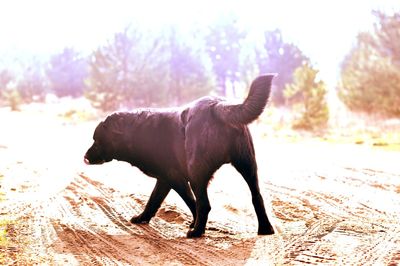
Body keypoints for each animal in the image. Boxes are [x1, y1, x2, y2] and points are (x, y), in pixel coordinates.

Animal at [85, 74, 276, 237]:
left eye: (96, 139)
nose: (85, 157)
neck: (137, 132)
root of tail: (217, 105)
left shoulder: (176, 178)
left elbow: (191, 203)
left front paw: (193, 225)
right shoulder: (164, 179)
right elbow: (153, 201)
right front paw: (142, 218)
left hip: (196, 173)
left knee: (204, 204)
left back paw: (196, 232)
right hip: (248, 165)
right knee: (257, 197)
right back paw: (265, 229)